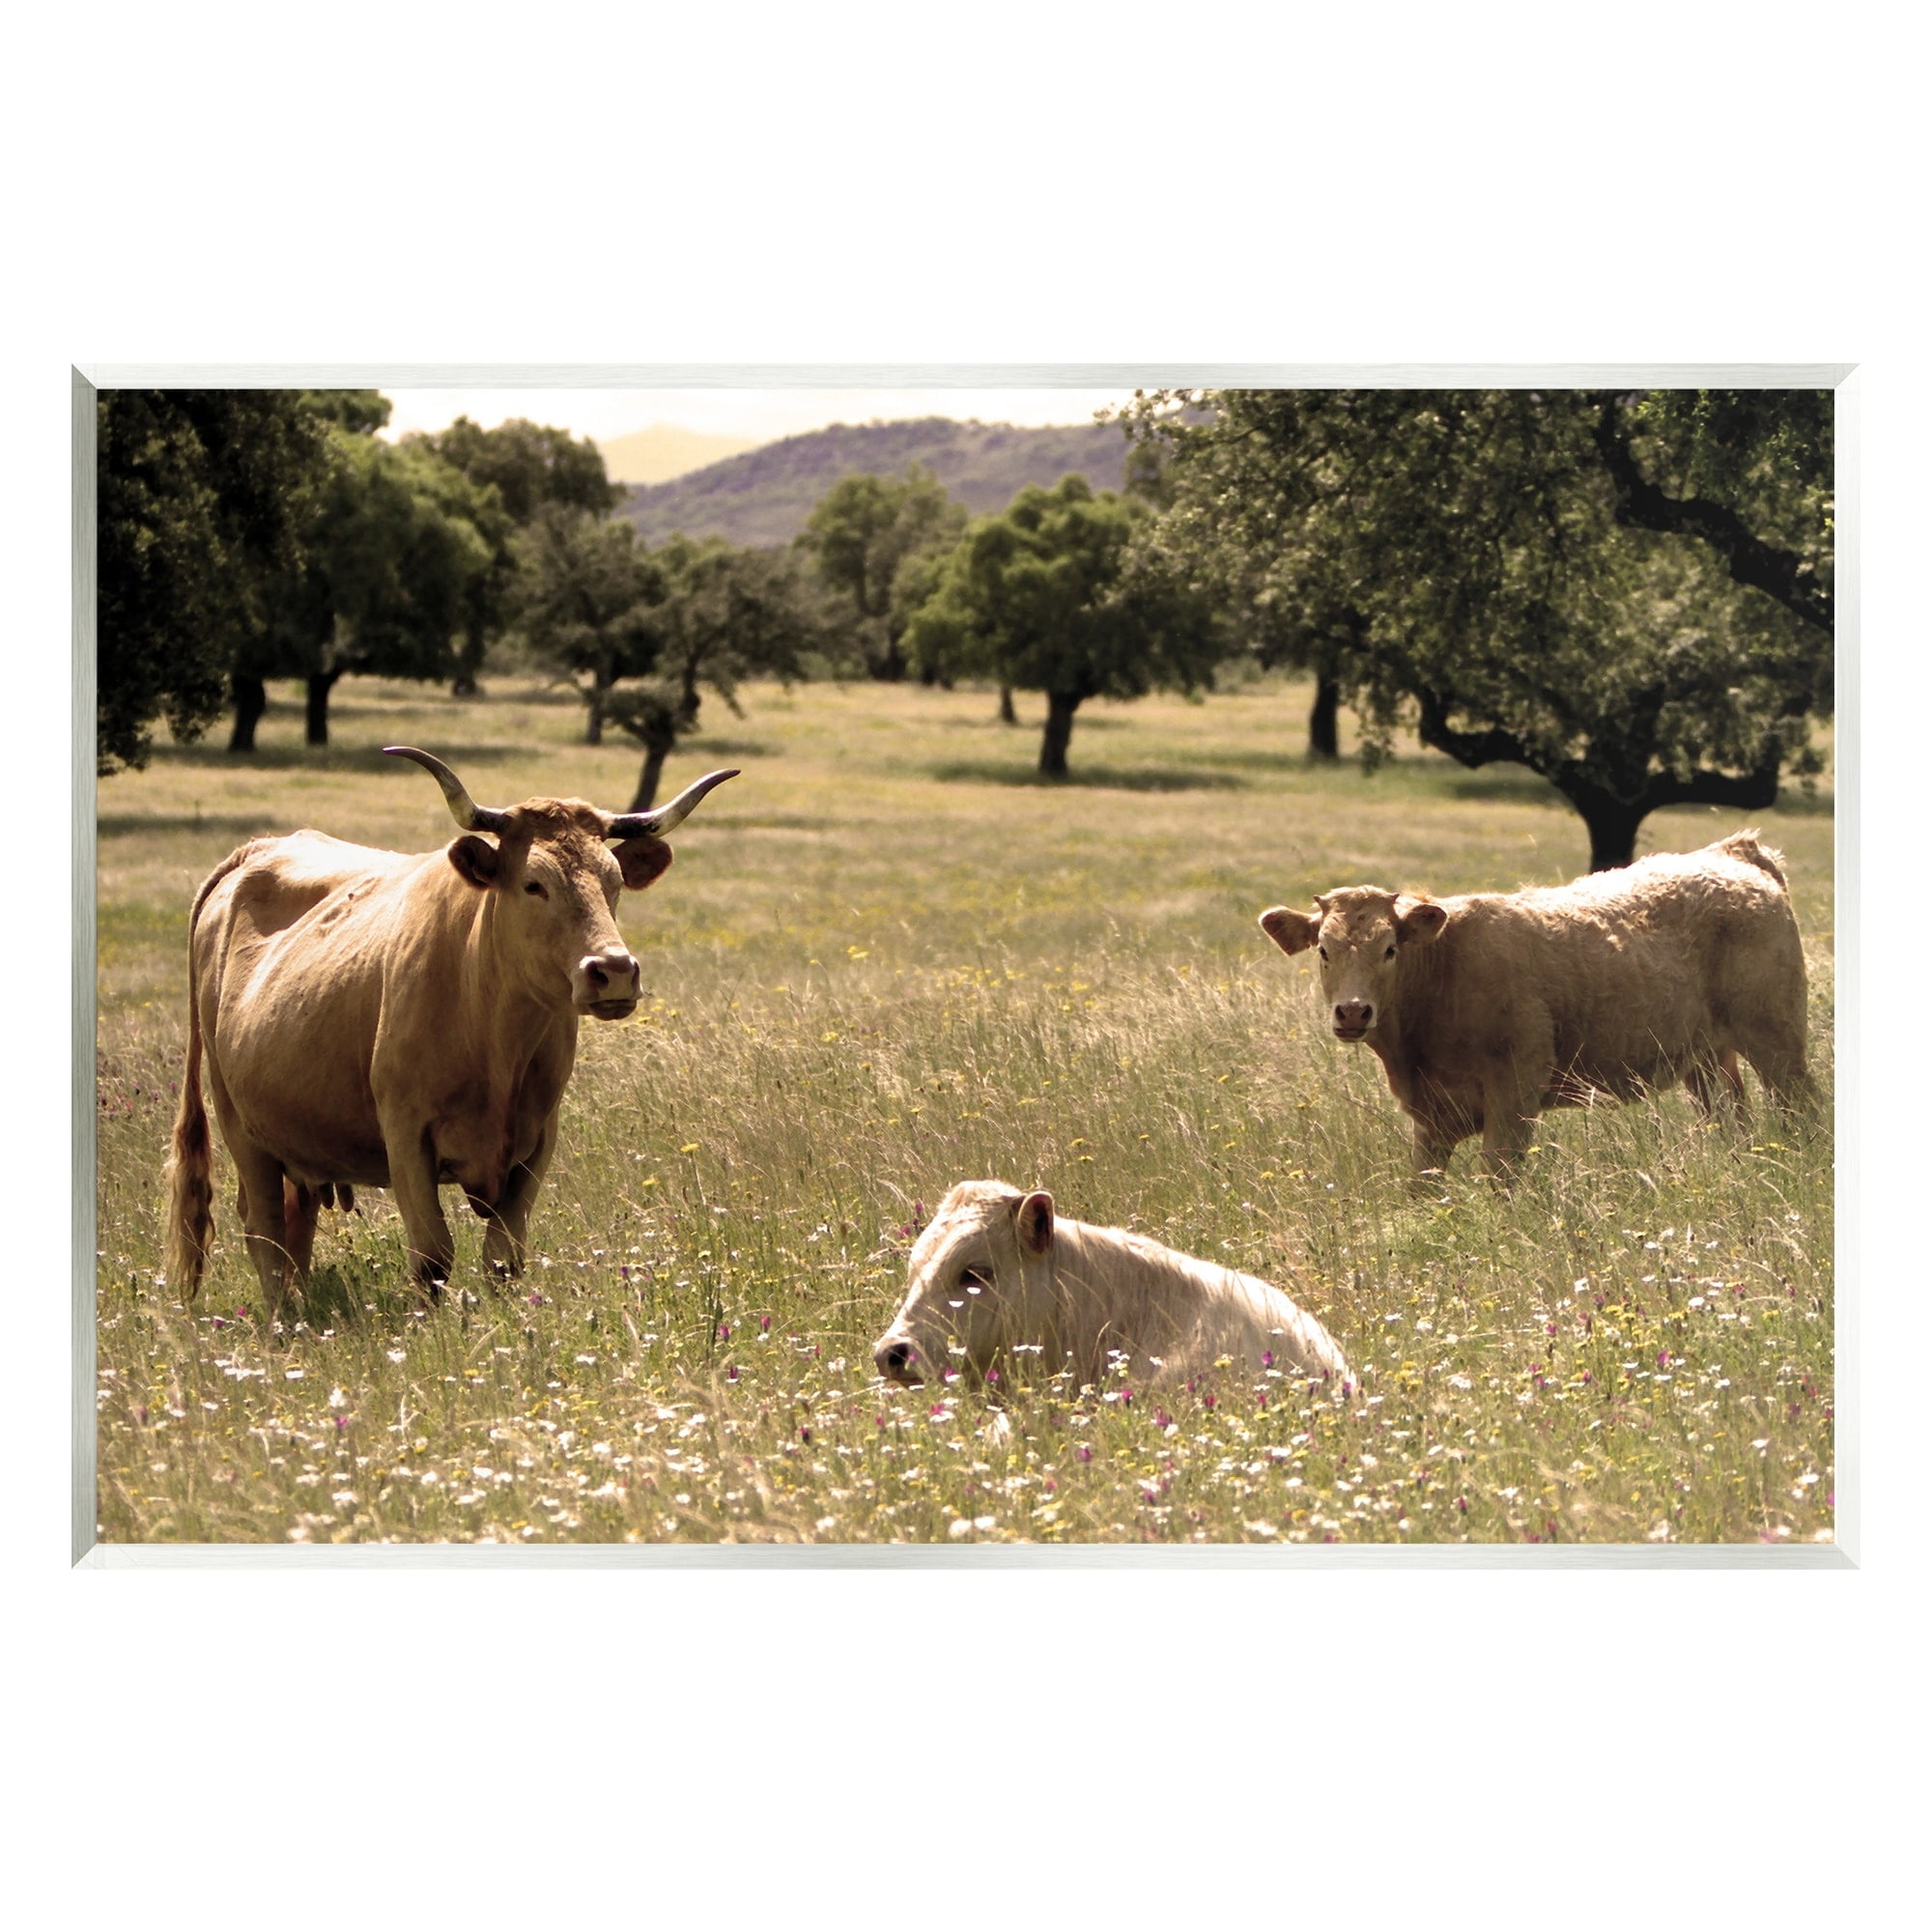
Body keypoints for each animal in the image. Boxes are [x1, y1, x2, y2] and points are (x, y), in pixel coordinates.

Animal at [163, 748, 737, 1319]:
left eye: (614, 882)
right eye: (534, 883)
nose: (614, 970)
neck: (493, 1040)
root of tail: (257, 849)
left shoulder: (538, 1139)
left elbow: (504, 1256)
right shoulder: (405, 1133)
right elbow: (433, 1255)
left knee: (293, 1224)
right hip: (238, 1122)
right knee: (263, 1228)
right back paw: (283, 1321)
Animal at [1257, 831, 1812, 1182]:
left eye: (1390, 949)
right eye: (1323, 950)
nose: (1353, 1012)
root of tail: (1731, 854)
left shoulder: (1514, 1094)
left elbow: (1500, 1180)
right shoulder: (1431, 1121)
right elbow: (1422, 1190)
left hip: (1777, 1041)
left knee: (1802, 1109)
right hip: (1706, 1059)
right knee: (1733, 1121)